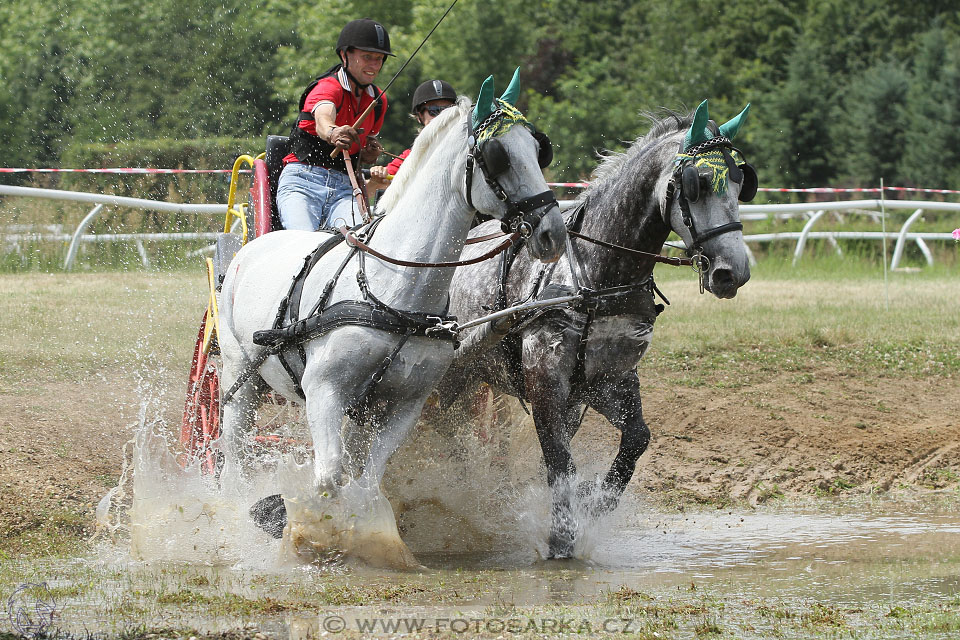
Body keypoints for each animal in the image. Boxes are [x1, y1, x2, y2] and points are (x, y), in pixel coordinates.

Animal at [214, 75, 568, 564]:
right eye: (498, 156)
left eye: (539, 149)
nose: (554, 232)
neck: (395, 290)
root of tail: (250, 247)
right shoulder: (323, 390)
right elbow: (328, 477)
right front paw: (293, 526)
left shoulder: (403, 404)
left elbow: (365, 482)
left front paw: (371, 542)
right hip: (240, 379)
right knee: (235, 457)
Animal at [436, 100, 756, 556]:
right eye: (697, 184)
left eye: (741, 181)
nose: (734, 271)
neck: (595, 276)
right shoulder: (544, 380)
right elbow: (559, 463)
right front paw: (561, 539)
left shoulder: (606, 380)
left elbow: (636, 439)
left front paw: (594, 501)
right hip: (451, 380)